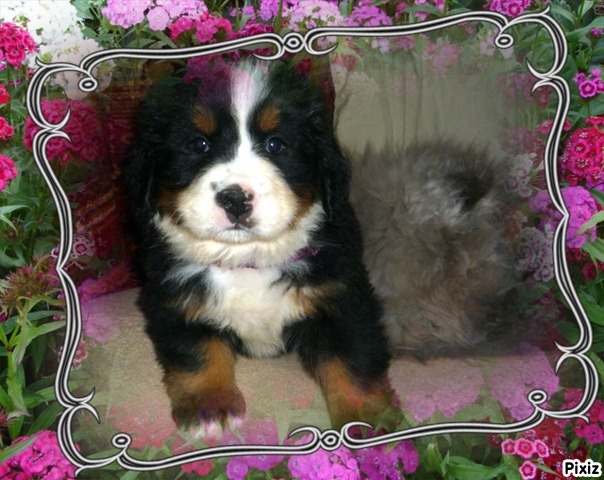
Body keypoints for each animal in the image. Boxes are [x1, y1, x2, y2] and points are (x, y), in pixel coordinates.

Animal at [121, 58, 392, 431]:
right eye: (198, 145)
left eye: (276, 144)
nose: (235, 199)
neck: (246, 260)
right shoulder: (173, 297)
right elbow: (197, 352)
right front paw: (210, 407)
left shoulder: (342, 296)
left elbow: (353, 361)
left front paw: (366, 423)